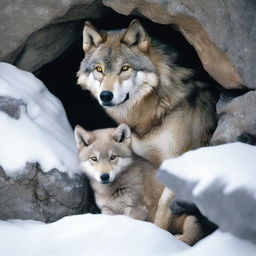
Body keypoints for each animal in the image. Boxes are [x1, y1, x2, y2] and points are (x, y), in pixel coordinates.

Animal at [77, 19, 217, 244]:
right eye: (99, 69)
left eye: (125, 68)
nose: (105, 95)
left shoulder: (174, 162)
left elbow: (162, 208)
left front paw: (159, 237)